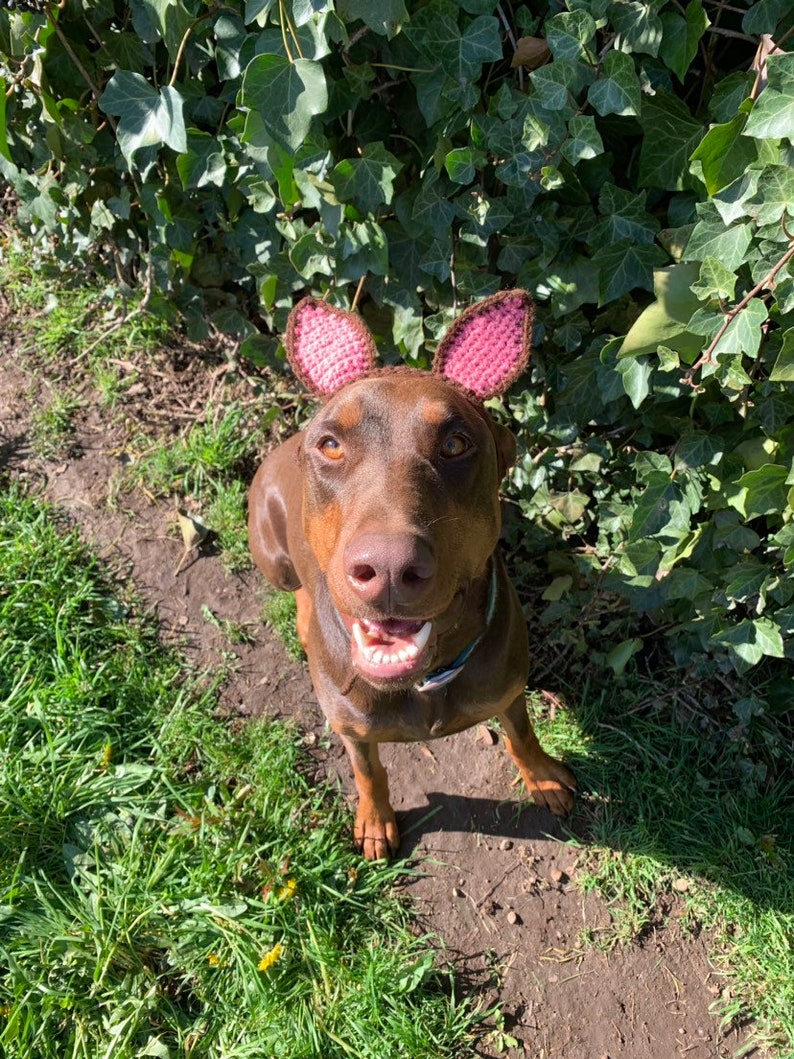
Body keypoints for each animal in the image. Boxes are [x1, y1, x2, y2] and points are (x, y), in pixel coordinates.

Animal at [245, 290, 575, 859]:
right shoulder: (353, 727)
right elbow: (368, 771)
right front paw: (375, 823)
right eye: (331, 444)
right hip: (272, 556)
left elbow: (522, 733)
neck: (422, 682)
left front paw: (543, 776)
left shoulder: (508, 688)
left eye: (456, 443)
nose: (389, 569)